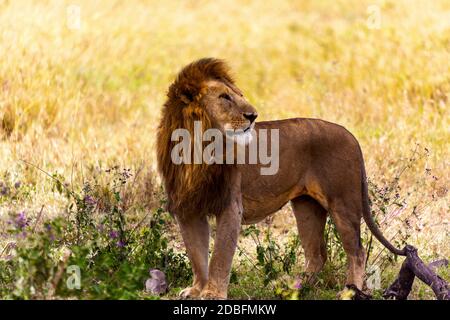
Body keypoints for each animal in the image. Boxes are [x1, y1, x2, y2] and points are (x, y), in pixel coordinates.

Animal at [156, 58, 404, 300]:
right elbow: (197, 254)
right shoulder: (188, 208)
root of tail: (351, 135)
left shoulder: (230, 206)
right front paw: (196, 290)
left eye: (239, 95)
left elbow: (220, 255)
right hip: (307, 207)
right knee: (317, 254)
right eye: (224, 97)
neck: (196, 148)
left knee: (357, 251)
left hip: (343, 203)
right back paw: (296, 288)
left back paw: (349, 291)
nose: (253, 116)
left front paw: (212, 294)